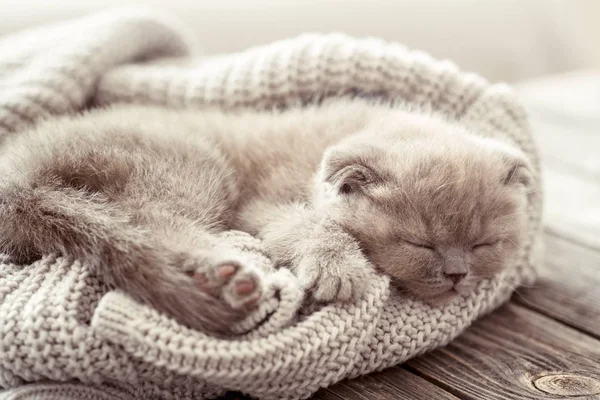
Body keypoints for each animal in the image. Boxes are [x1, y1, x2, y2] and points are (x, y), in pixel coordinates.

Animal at [0, 97, 528, 334]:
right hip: (194, 163)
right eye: (420, 244)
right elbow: (308, 224)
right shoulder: (263, 205)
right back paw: (227, 268)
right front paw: (339, 269)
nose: (457, 274)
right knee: (148, 219)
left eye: (484, 245)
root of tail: (20, 169)